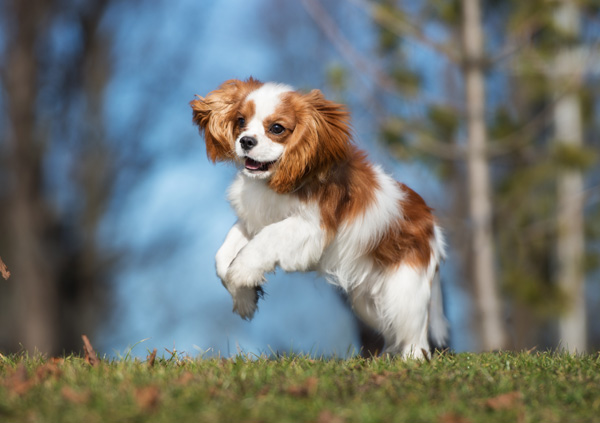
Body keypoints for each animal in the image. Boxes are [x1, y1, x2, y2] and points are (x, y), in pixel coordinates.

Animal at [190, 78, 448, 358]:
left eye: (277, 128)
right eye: (240, 121)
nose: (246, 141)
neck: (274, 182)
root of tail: (432, 225)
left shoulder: (310, 227)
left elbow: (262, 242)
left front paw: (241, 273)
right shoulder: (254, 220)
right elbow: (223, 256)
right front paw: (244, 298)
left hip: (403, 289)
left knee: (415, 336)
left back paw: (411, 360)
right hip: (367, 302)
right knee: (392, 331)